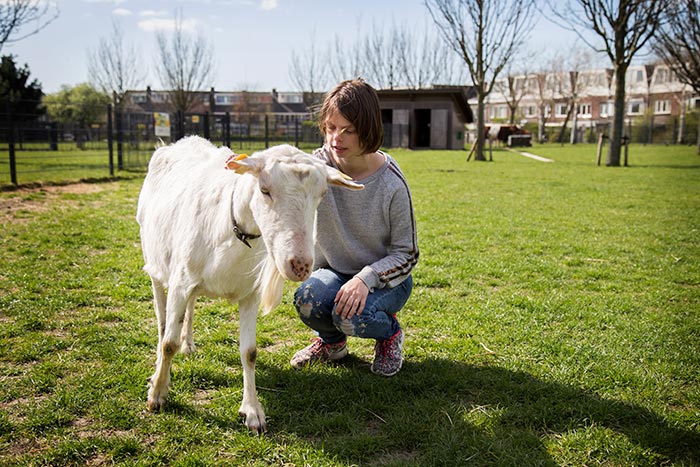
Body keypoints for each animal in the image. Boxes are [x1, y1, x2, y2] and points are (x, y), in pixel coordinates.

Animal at [139, 136, 364, 436]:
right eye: (264, 189)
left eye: (321, 194)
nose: (300, 265)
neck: (231, 229)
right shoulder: (180, 282)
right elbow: (167, 344)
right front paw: (158, 394)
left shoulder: (248, 294)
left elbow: (250, 352)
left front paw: (253, 412)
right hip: (156, 264)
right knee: (162, 321)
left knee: (191, 308)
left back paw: (189, 344)